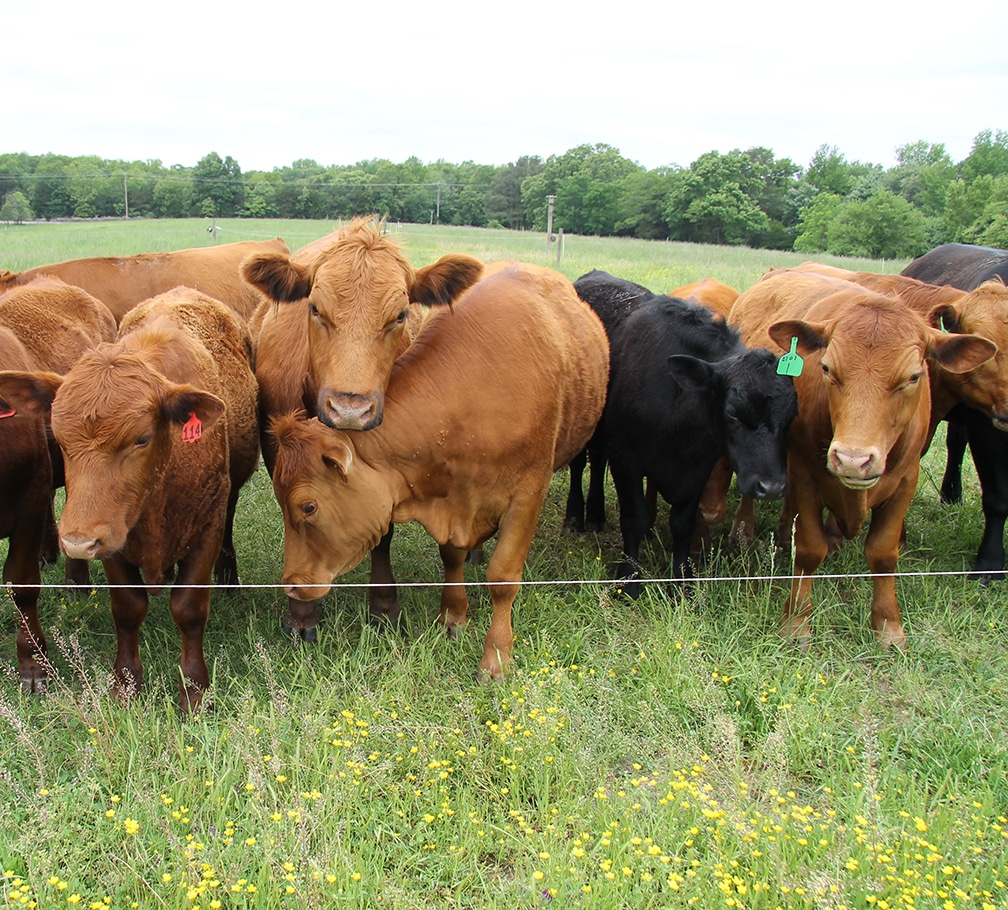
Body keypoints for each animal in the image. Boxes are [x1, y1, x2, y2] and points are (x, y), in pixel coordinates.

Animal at [0, 288, 259, 711]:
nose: (76, 541)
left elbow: (189, 609)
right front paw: (125, 687)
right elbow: (127, 608)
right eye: (58, 435)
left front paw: (194, 691)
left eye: (141, 438)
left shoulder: (206, 524)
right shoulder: (113, 537)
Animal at [242, 218, 484, 640]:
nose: (350, 409)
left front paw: (384, 605)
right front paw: (301, 614)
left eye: (400, 315)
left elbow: (383, 530)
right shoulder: (278, 452)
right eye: (315, 308)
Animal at [269, 263, 609, 681]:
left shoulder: (528, 495)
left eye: (308, 507)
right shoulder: (451, 493)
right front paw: (453, 615)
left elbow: (503, 578)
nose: (291, 585)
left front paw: (496, 657)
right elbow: (451, 556)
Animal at [564, 270, 798, 597]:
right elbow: (634, 518)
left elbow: (682, 523)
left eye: (791, 416)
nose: (772, 487)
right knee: (581, 464)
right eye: (733, 413)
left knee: (597, 462)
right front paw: (629, 580)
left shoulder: (698, 467)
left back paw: (596, 515)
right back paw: (575, 516)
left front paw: (682, 581)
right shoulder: (627, 459)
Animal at [729, 268, 996, 649]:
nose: (853, 459)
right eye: (827, 368)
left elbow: (883, 553)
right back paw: (744, 528)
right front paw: (796, 624)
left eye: (913, 376)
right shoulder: (805, 472)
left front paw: (888, 627)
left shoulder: (905, 481)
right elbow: (809, 549)